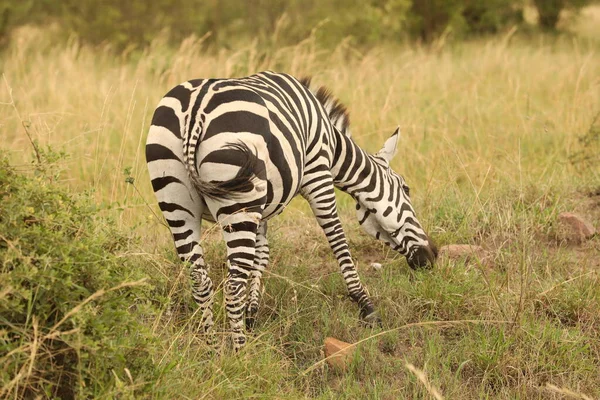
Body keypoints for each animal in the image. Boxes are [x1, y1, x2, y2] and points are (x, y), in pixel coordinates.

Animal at [145, 72, 436, 350]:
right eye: (406, 189)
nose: (433, 256)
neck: (332, 142)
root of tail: (195, 109)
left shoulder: (261, 208)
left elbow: (261, 255)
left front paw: (251, 315)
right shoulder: (318, 174)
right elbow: (338, 239)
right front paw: (367, 307)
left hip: (178, 203)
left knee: (200, 280)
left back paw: (214, 350)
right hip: (237, 203)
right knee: (232, 285)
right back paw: (240, 355)